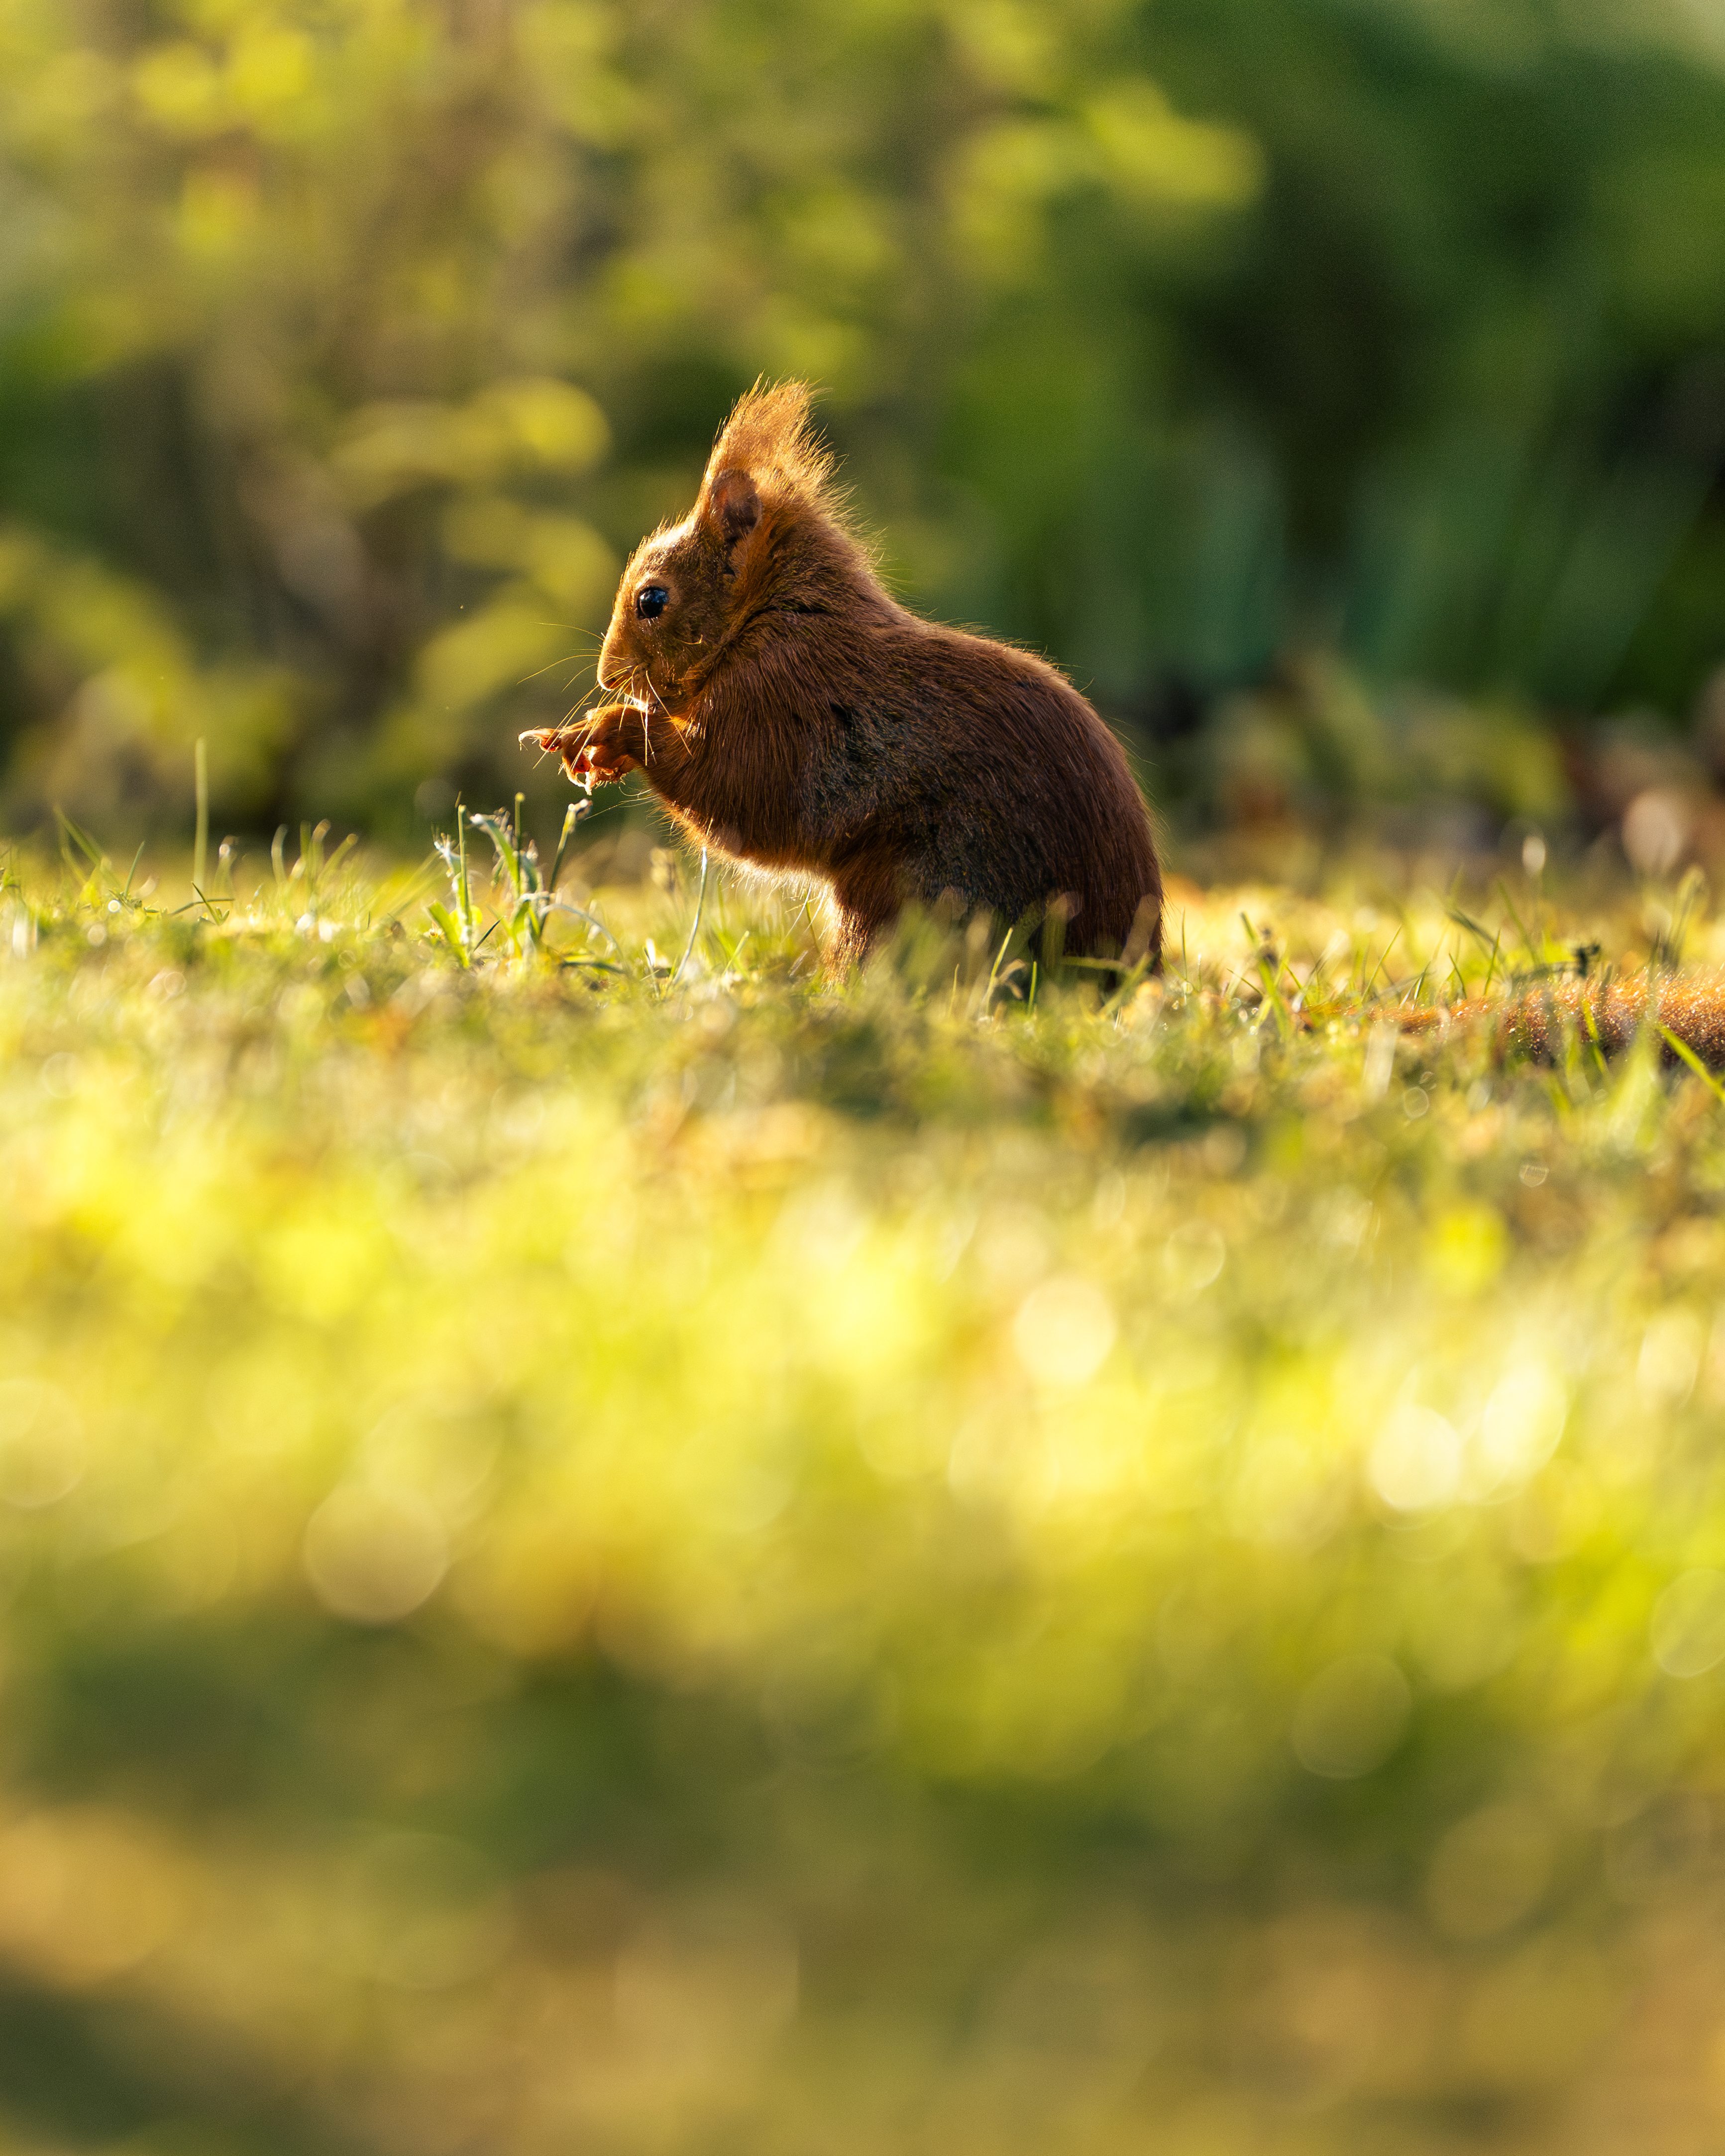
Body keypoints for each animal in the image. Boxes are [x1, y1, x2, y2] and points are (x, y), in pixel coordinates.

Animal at [523, 381, 1161, 975]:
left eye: (651, 599)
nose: (608, 677)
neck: (766, 618)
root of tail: (1120, 968)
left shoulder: (779, 704)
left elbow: (735, 794)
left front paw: (610, 728)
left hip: (915, 899)